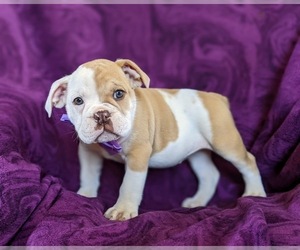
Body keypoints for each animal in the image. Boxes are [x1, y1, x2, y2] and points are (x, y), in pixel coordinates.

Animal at [44, 58, 264, 221]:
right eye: (77, 101)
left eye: (119, 94)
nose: (101, 114)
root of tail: (216, 97)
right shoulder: (88, 151)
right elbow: (89, 174)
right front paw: (85, 195)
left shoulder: (138, 155)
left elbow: (129, 184)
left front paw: (122, 210)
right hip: (198, 153)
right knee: (209, 174)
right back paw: (197, 201)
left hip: (225, 142)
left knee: (248, 162)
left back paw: (255, 193)